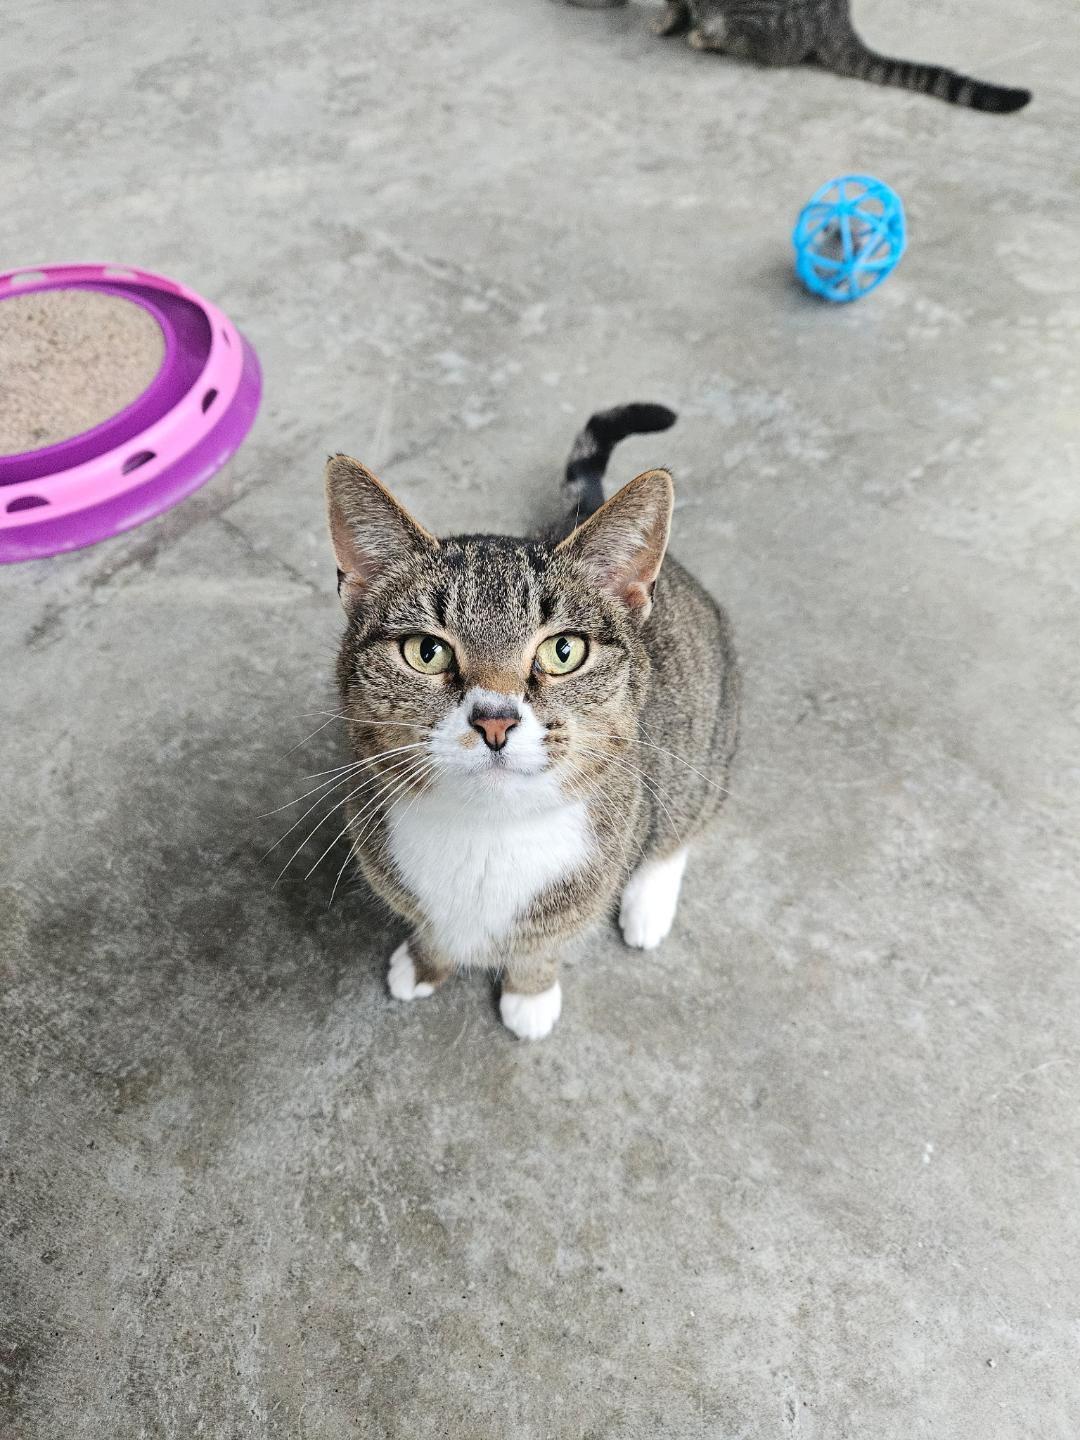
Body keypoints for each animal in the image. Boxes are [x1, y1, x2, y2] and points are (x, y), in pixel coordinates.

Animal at [324, 404, 739, 1039]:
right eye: (426, 651)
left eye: (563, 651)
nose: (494, 721)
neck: (487, 835)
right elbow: (430, 927)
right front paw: (424, 962)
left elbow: (543, 942)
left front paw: (530, 993)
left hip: (712, 731)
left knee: (682, 819)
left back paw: (649, 902)